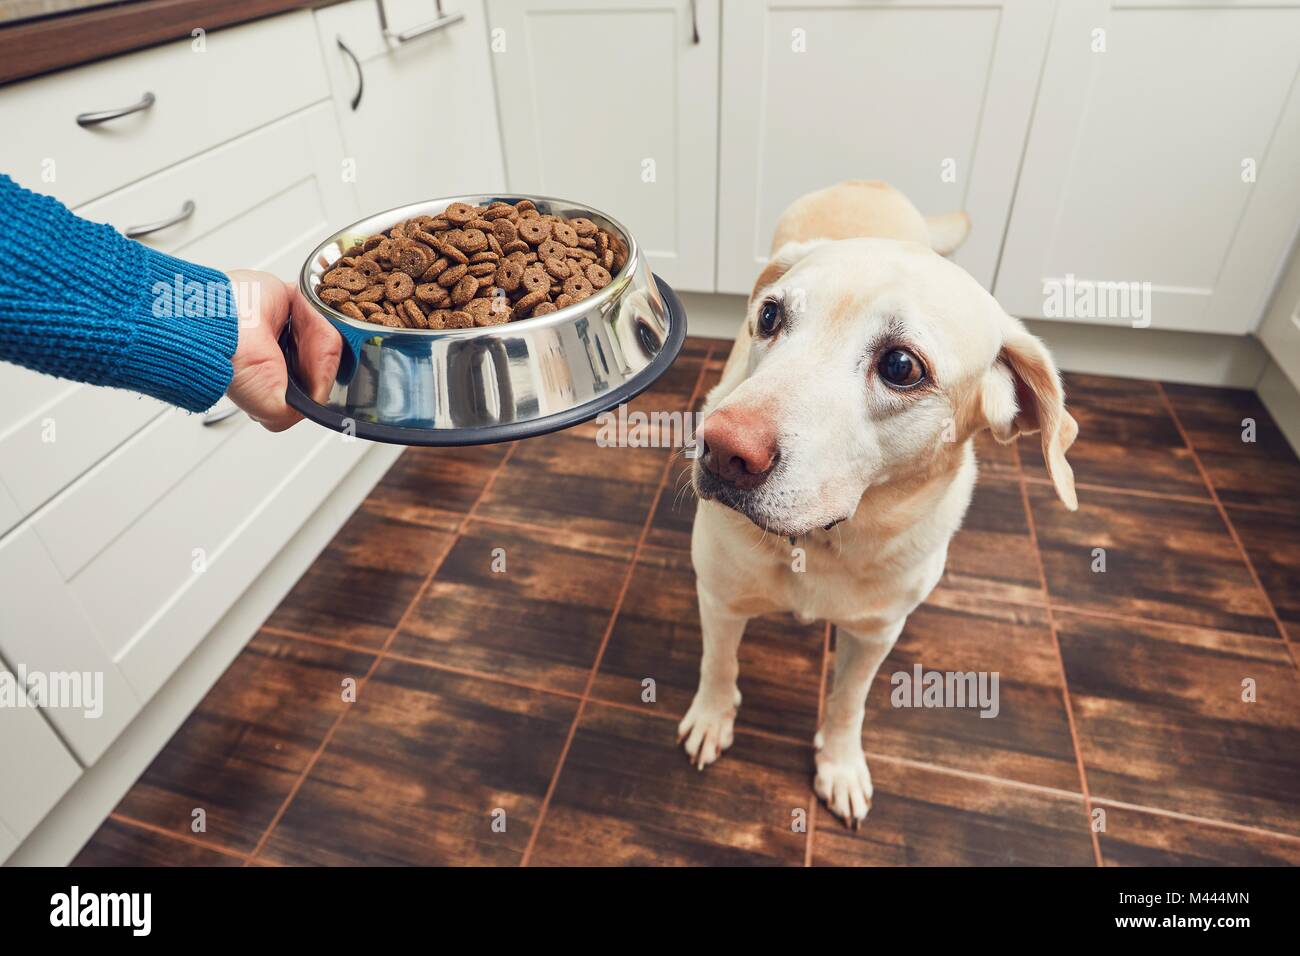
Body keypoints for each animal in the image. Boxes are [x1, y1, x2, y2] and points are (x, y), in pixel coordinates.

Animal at [681, 183, 1076, 827]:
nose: (720, 450)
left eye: (900, 366)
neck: (822, 542)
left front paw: (840, 766)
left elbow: (848, 702)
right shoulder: (719, 597)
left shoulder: (876, 634)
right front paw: (712, 718)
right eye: (770, 316)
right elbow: (719, 665)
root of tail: (869, 184)